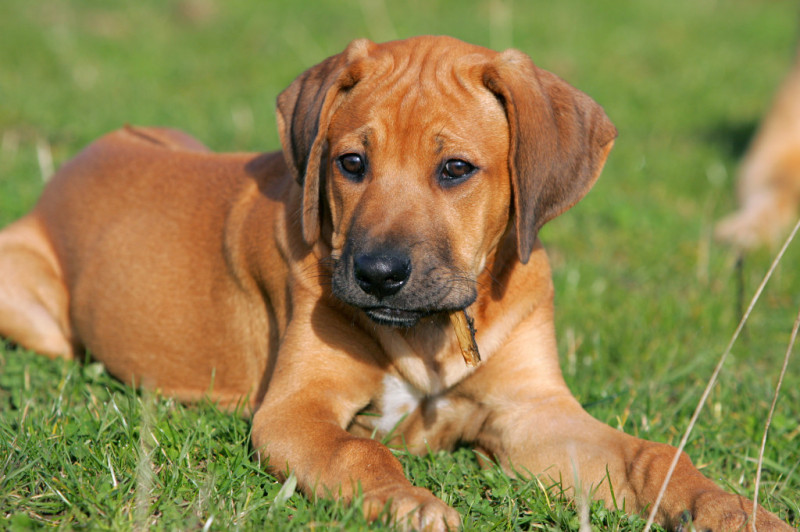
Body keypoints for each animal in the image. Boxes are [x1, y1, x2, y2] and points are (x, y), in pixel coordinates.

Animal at [0, 36, 791, 531]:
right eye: (351, 163)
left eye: (455, 169)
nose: (377, 275)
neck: (435, 331)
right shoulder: (294, 411)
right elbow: (359, 449)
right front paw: (408, 502)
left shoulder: (532, 412)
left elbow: (652, 452)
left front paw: (727, 508)